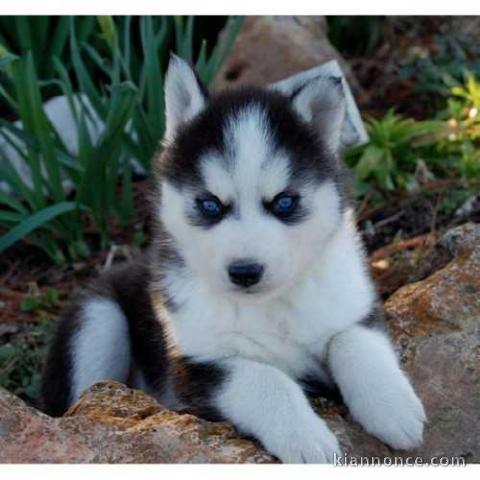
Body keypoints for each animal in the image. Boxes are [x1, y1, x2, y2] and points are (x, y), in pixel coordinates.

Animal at [41, 55, 424, 462]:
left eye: (284, 202)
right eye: (210, 205)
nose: (245, 272)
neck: (271, 306)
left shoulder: (353, 306)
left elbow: (353, 341)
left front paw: (392, 407)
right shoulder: (196, 364)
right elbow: (265, 378)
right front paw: (304, 437)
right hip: (98, 317)